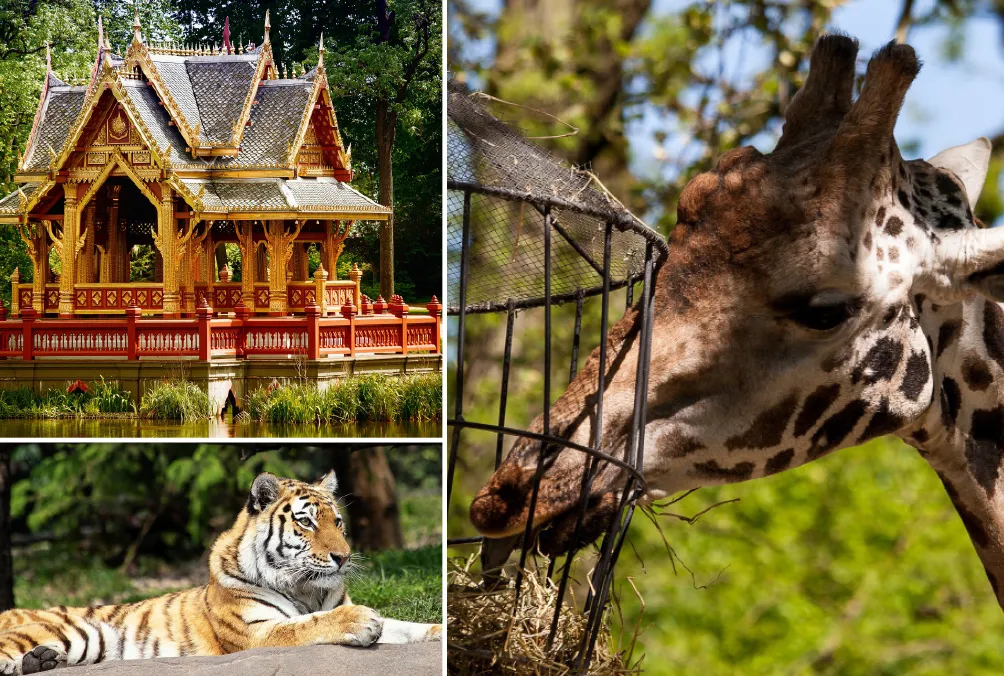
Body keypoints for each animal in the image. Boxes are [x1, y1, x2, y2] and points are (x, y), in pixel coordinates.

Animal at [0, 472, 443, 670]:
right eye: (306, 523)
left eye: (338, 522)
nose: (344, 557)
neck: (306, 590)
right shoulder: (257, 632)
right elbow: (308, 624)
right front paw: (360, 620)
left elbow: (409, 627)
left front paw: (440, 631)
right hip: (69, 630)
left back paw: (43, 662)